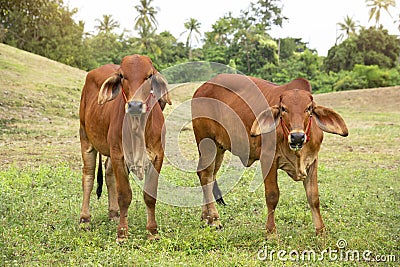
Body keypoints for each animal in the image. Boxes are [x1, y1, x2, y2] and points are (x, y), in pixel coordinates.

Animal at [79, 55, 171, 243]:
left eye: (149, 76)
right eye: (122, 76)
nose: (135, 105)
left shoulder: (157, 157)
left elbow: (150, 196)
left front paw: (153, 232)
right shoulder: (118, 156)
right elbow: (124, 196)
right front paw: (122, 234)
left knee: (108, 174)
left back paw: (113, 214)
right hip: (85, 138)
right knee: (88, 177)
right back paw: (85, 219)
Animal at [191, 74, 346, 236]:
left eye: (309, 108)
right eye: (283, 108)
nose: (297, 137)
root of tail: (201, 88)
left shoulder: (312, 161)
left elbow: (313, 197)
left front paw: (321, 231)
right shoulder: (268, 159)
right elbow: (272, 196)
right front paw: (271, 232)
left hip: (219, 148)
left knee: (208, 176)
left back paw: (205, 217)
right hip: (207, 143)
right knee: (205, 175)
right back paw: (214, 219)